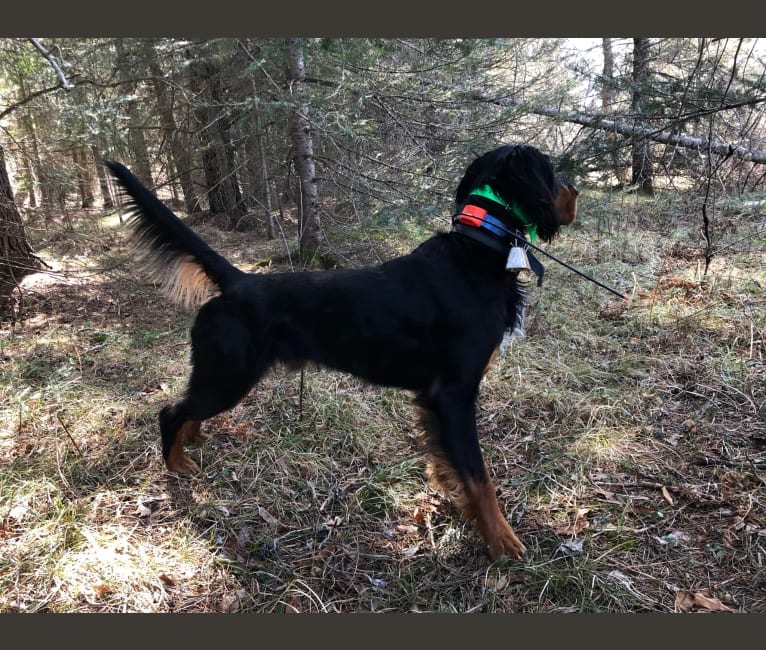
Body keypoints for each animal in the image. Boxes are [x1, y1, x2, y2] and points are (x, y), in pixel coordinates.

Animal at [105, 143, 580, 556]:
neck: (476, 250)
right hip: (228, 374)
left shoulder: (435, 400)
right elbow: (480, 477)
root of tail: (238, 281)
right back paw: (176, 466)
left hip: (220, 374)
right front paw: (501, 541)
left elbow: (451, 465)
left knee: (187, 409)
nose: (577, 192)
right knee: (170, 411)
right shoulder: (453, 393)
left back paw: (194, 440)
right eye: (551, 173)